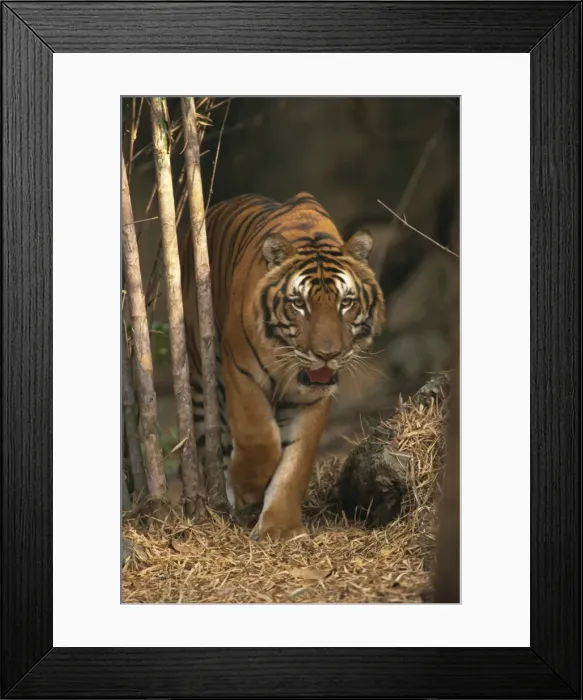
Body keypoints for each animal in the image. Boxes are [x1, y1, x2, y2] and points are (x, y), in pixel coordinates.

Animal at [180, 192, 385, 541]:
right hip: (198, 376)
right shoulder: (242, 374)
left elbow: (295, 463)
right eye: (299, 304)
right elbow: (259, 438)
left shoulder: (315, 395)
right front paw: (250, 490)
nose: (327, 354)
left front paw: (280, 528)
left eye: (345, 303)